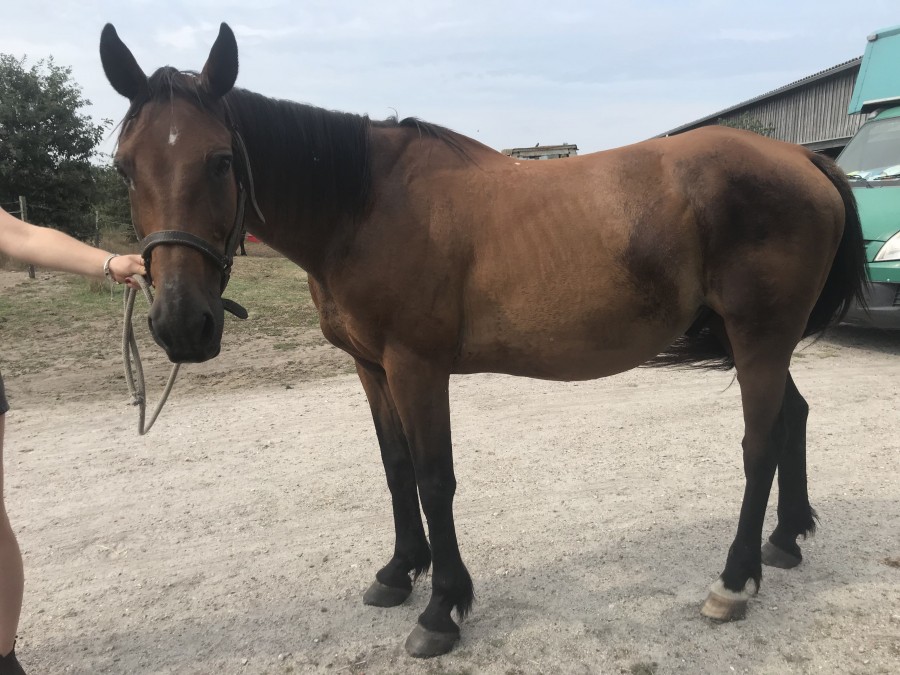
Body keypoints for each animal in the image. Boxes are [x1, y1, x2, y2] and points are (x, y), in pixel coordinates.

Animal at [99, 23, 867, 658]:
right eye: (124, 168)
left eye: (221, 161)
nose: (182, 324)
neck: (364, 204)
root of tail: (805, 161)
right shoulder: (371, 367)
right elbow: (396, 467)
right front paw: (398, 571)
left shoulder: (417, 366)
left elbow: (435, 477)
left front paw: (442, 607)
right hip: (761, 341)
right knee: (792, 417)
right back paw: (785, 541)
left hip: (758, 336)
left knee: (759, 443)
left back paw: (734, 580)